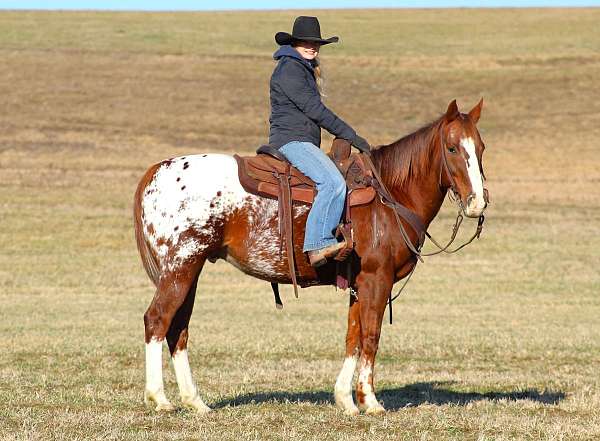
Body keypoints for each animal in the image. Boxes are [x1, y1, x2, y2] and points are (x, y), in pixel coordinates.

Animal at [132, 98, 488, 414]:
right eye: (453, 148)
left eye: (481, 147)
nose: (477, 202)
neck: (390, 195)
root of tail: (157, 171)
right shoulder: (377, 279)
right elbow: (371, 336)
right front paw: (370, 401)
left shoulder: (359, 284)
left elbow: (352, 337)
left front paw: (346, 400)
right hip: (180, 268)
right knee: (157, 320)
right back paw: (159, 398)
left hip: (189, 271)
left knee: (178, 328)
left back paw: (196, 402)